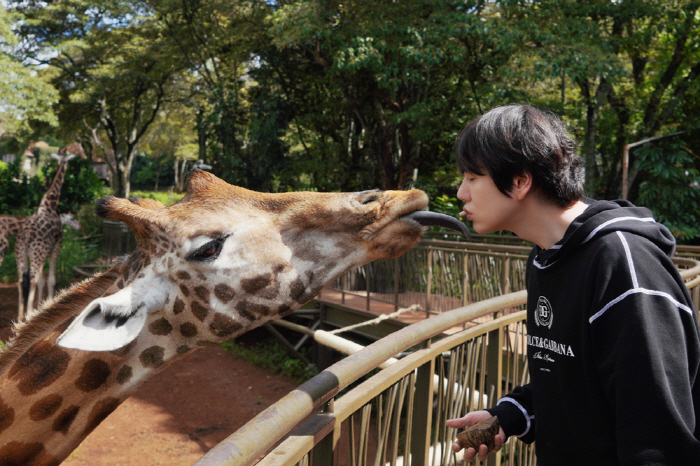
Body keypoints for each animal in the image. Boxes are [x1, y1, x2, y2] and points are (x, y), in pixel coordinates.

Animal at [15, 153, 75, 320]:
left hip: (22, 254)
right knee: (32, 280)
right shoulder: (57, 247)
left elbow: (43, 280)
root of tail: (26, 235)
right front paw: (50, 304)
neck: (50, 203)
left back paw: (19, 319)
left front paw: (41, 306)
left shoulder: (44, 253)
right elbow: (51, 280)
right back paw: (28, 316)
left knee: (21, 281)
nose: (59, 165)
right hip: (38, 254)